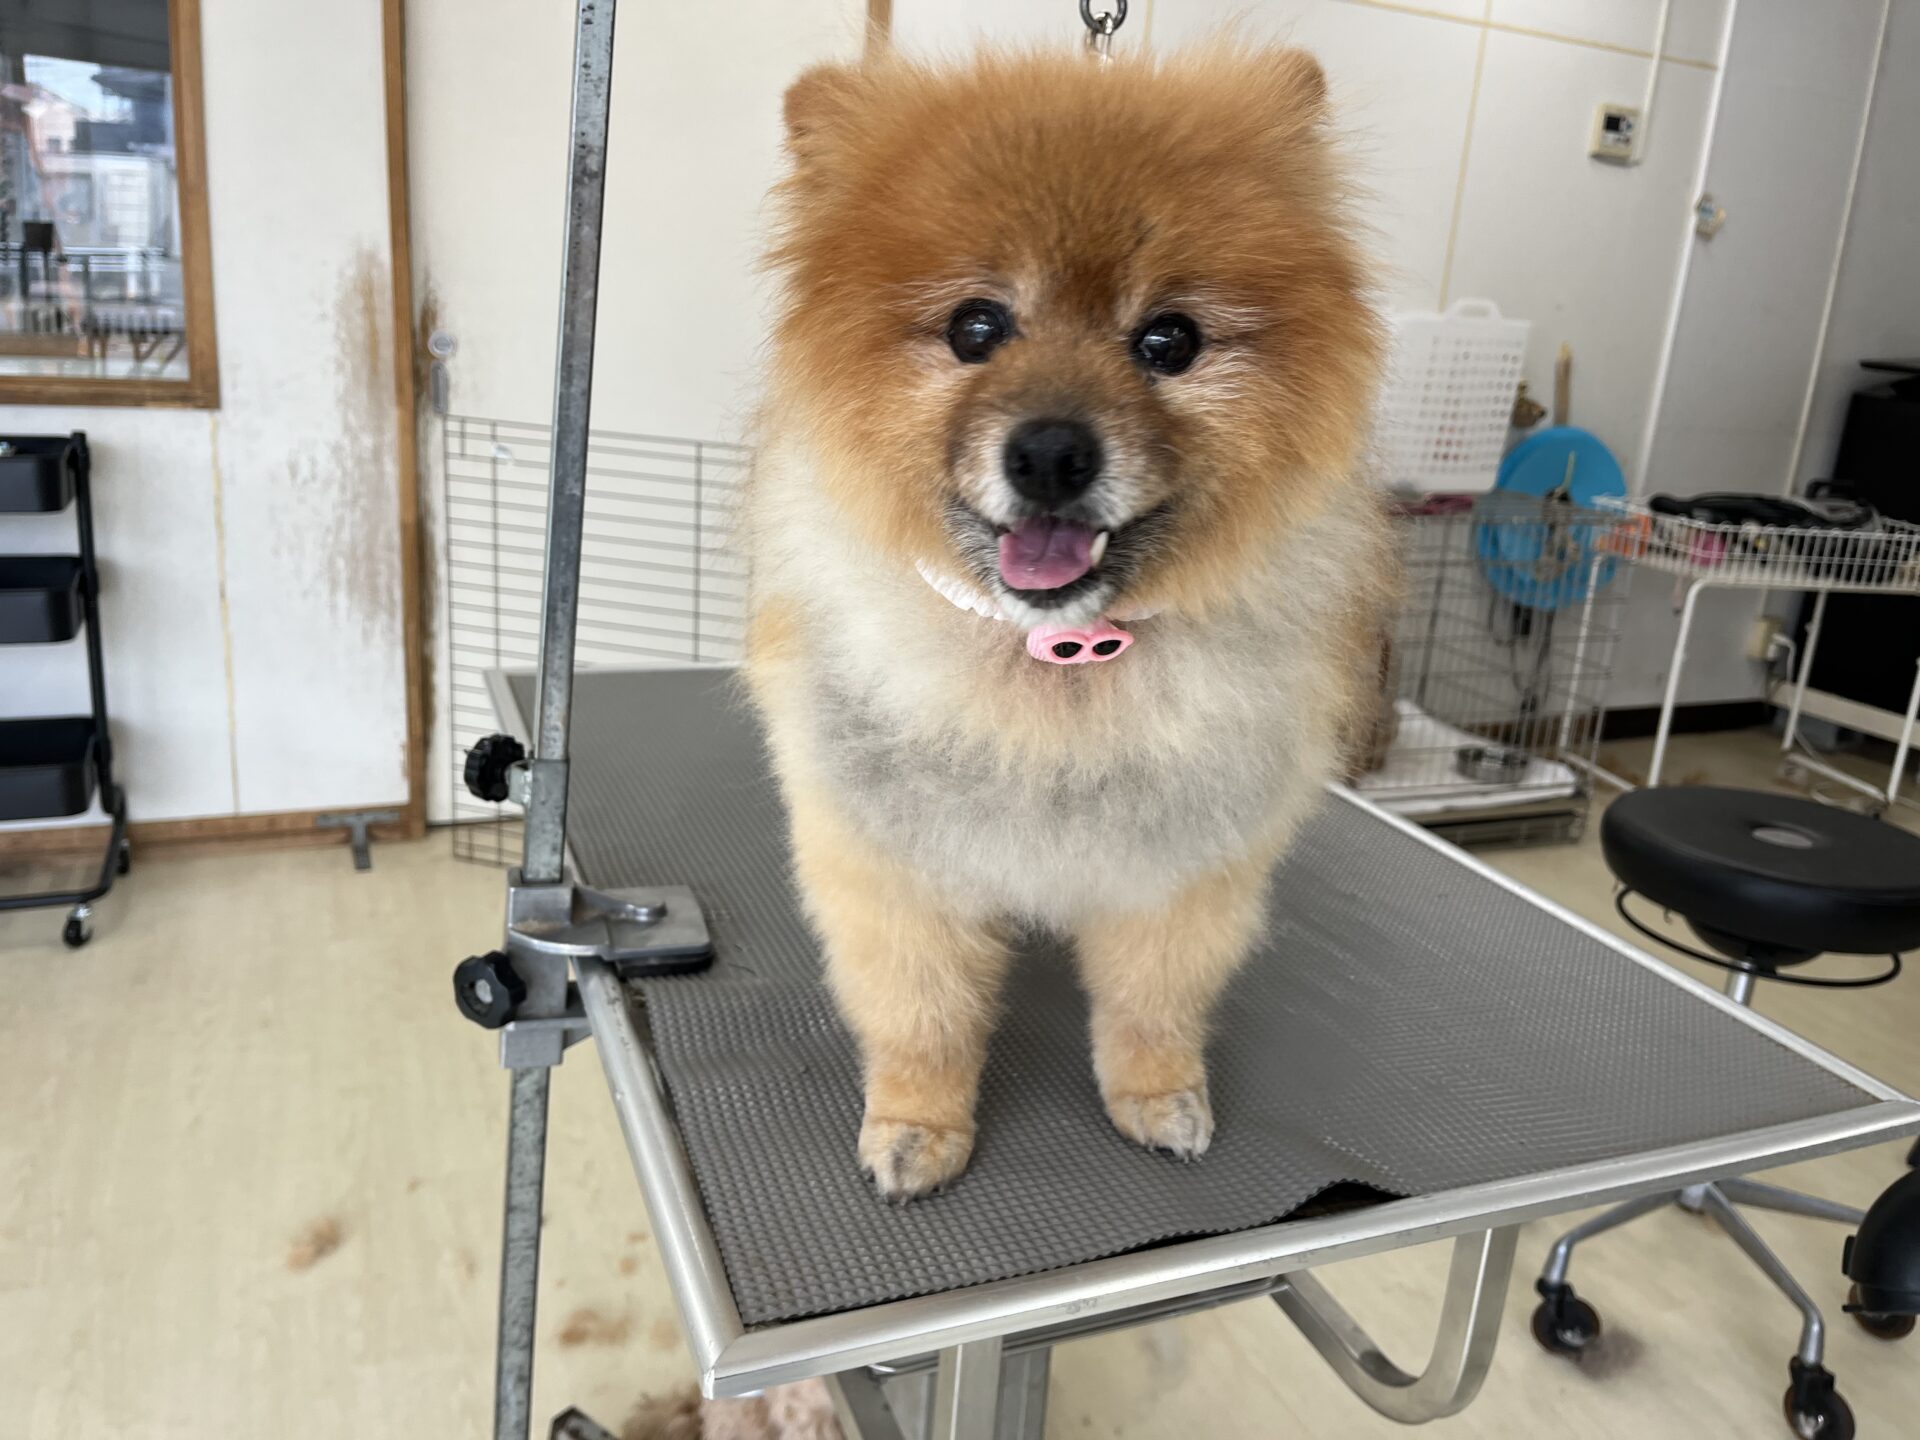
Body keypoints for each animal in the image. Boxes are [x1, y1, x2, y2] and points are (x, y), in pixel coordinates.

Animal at [741, 45, 1395, 1200]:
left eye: (1169, 340)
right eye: (976, 327)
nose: (1050, 451)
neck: (1055, 661)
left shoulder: (1182, 865)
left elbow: (1151, 1003)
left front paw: (1158, 1094)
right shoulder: (896, 863)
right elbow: (923, 1014)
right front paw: (918, 1123)